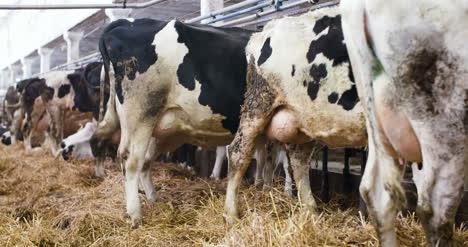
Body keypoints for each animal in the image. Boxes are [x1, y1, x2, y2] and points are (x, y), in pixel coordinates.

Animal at [221, 5, 368, 223]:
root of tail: (261, 33)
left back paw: (311, 212)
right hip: (259, 101)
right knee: (238, 152)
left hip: (307, 117)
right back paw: (231, 214)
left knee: (298, 160)